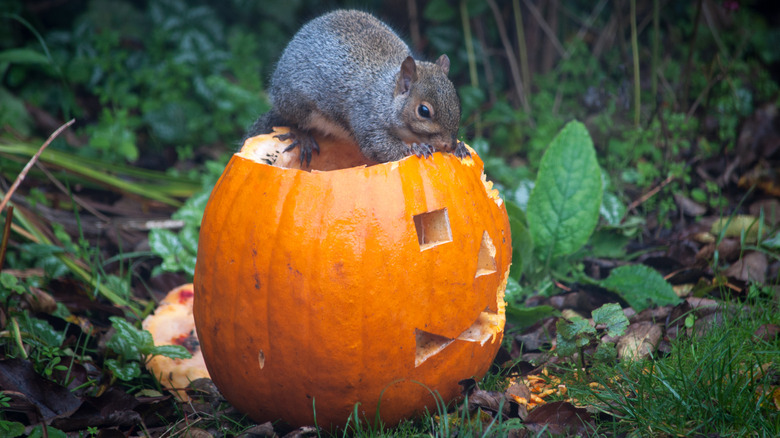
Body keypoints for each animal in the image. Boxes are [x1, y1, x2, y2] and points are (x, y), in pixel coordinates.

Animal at [245, 9, 469, 166]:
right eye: (423, 111)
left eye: (458, 102)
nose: (449, 145)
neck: (386, 96)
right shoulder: (367, 118)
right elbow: (378, 147)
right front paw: (415, 149)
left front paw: (460, 149)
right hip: (298, 104)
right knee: (293, 120)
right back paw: (302, 136)